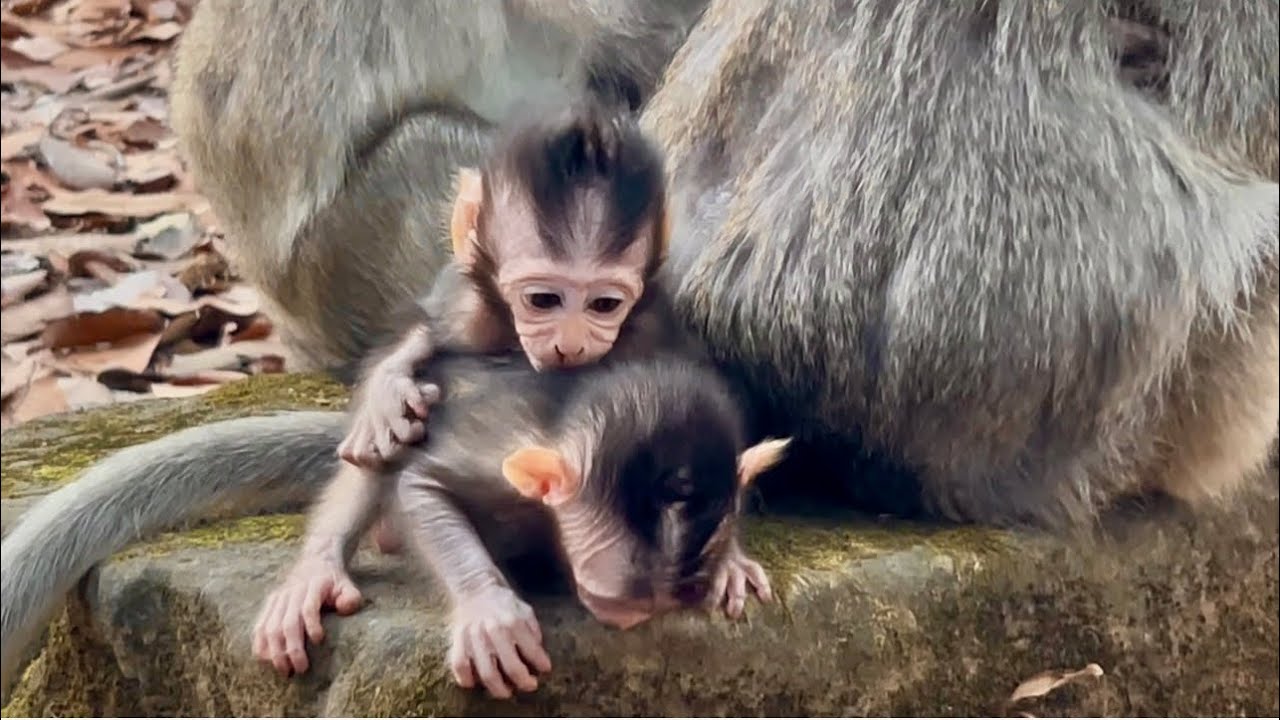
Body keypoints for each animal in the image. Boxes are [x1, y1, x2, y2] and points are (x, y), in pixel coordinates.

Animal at [252, 350, 785, 698]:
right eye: (616, 599)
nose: (631, 619)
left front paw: (731, 562)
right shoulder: (495, 461)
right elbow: (420, 484)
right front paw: (489, 611)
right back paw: (316, 574)